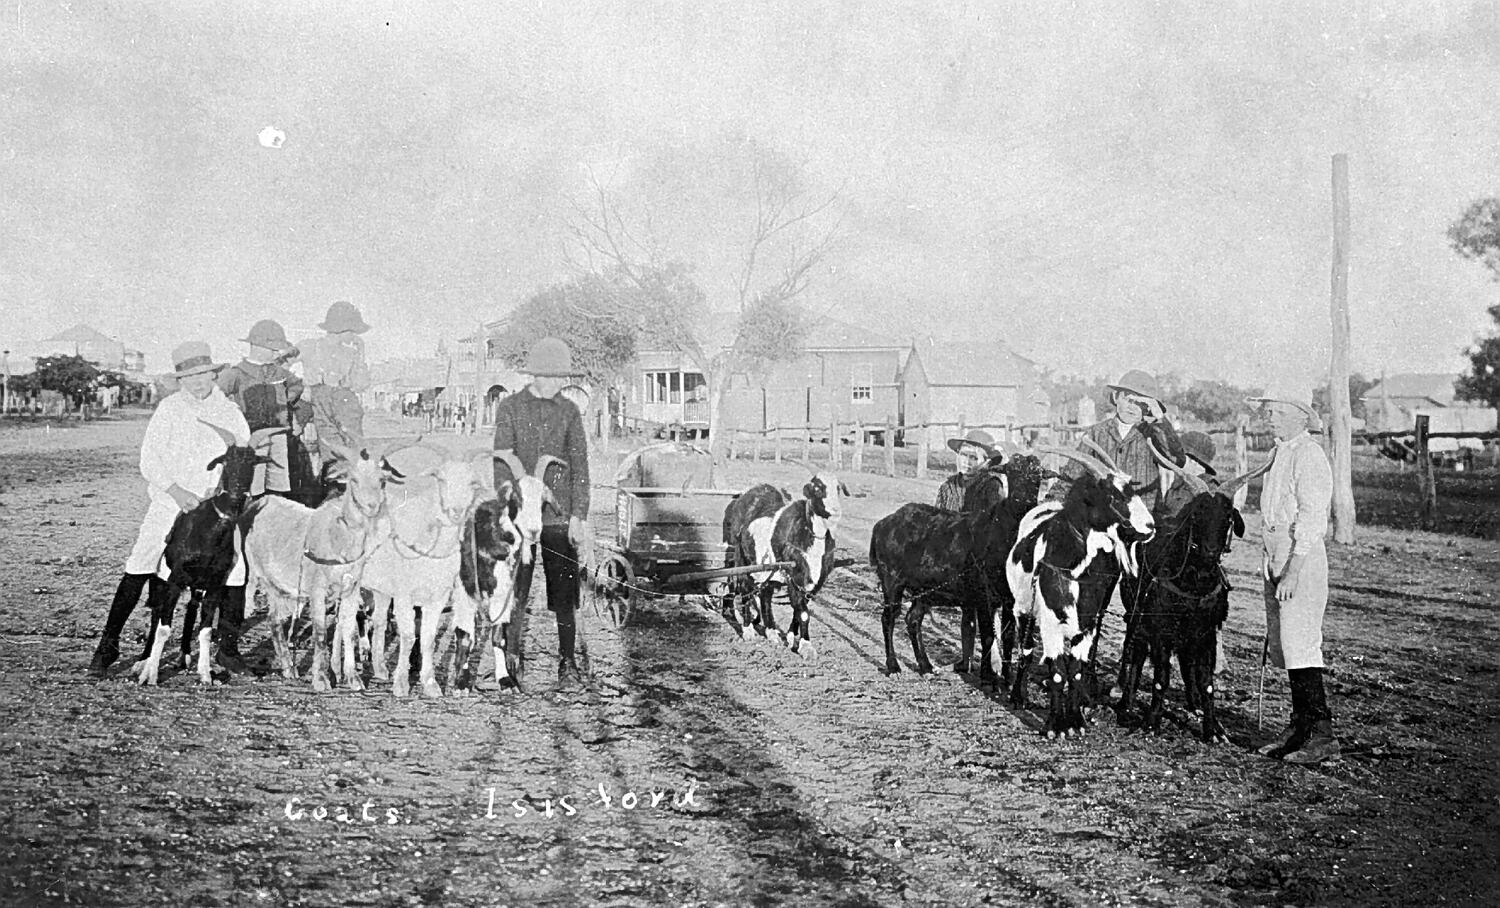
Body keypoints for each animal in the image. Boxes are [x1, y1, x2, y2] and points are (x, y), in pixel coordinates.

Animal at [133, 420, 271, 684]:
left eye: (251, 463)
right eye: (226, 461)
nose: (237, 493)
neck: (208, 532)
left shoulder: (215, 583)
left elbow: (206, 630)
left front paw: (205, 673)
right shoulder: (175, 579)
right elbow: (164, 627)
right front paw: (152, 675)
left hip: (197, 585)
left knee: (190, 610)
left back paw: (184, 655)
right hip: (161, 577)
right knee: (157, 613)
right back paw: (143, 662)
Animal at [723, 471, 852, 654]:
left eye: (838, 489)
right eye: (817, 488)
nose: (835, 511)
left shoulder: (815, 581)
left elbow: (799, 609)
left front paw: (791, 638)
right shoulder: (794, 577)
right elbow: (803, 612)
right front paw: (806, 647)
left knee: (765, 596)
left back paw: (771, 632)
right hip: (741, 559)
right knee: (744, 590)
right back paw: (748, 630)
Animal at [1008, 447, 1158, 735]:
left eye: (1132, 490)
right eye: (1112, 495)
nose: (1150, 527)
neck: (1075, 570)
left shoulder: (1087, 624)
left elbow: (1075, 671)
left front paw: (1076, 721)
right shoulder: (1051, 622)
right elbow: (1057, 672)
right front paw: (1055, 726)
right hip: (1022, 608)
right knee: (1025, 649)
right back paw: (1018, 696)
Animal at [1122, 441, 1272, 741]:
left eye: (1226, 517)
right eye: (1198, 514)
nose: (1210, 551)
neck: (1194, 580)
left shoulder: (1205, 632)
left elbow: (1206, 681)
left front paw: (1213, 729)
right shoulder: (1162, 629)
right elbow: (1161, 678)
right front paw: (1152, 721)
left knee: (1185, 664)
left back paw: (1194, 705)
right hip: (1137, 615)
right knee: (1135, 653)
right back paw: (1126, 702)